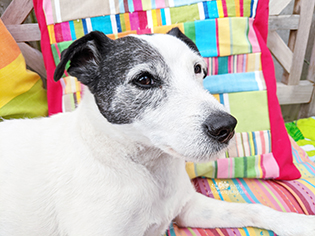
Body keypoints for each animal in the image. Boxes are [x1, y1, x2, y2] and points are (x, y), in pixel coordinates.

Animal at [0, 28, 314, 236]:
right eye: (144, 79)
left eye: (198, 69)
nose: (225, 127)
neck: (145, 168)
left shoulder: (189, 207)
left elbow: (254, 208)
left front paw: (298, 224)